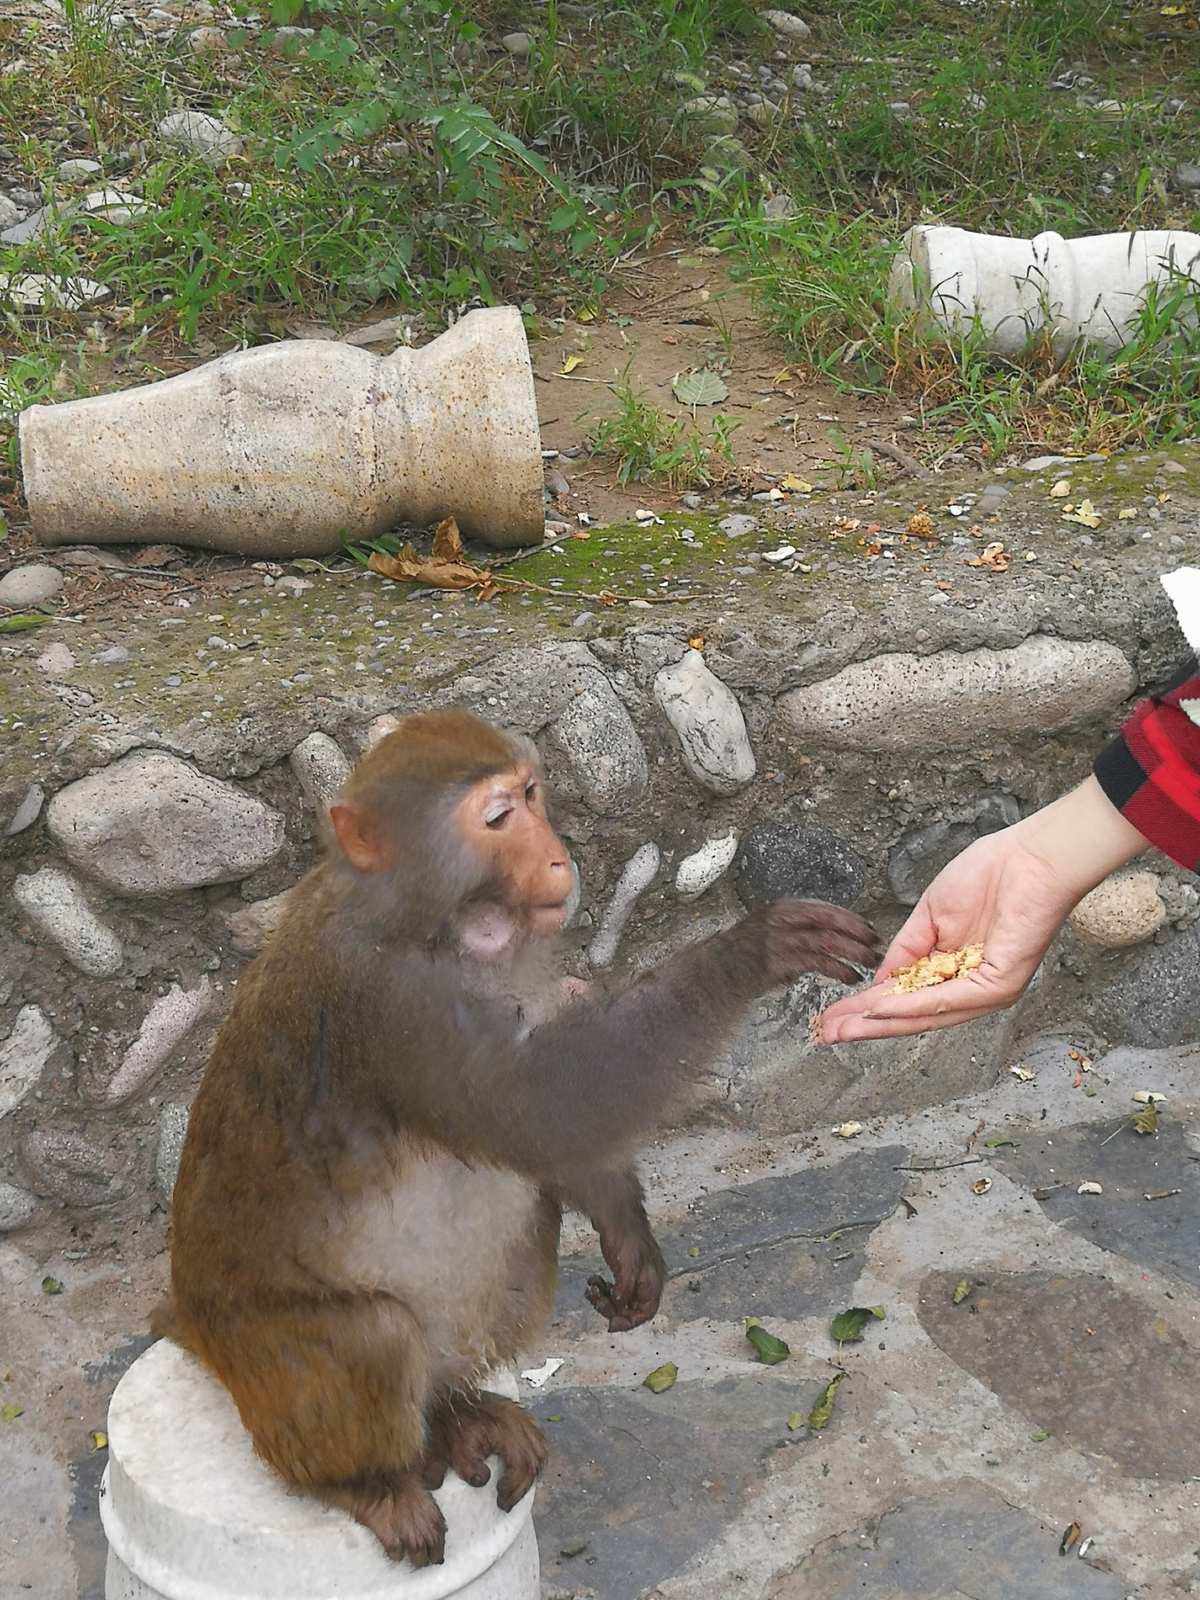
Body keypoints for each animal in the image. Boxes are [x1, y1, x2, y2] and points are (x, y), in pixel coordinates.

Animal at [155, 710, 876, 1561]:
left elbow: (554, 1134)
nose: (559, 853)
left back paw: (455, 1415)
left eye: (533, 795)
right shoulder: (396, 1003)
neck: (433, 924)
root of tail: (196, 1335)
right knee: (372, 1333)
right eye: (498, 818)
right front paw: (753, 949)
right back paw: (363, 1483)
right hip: (262, 1368)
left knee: (528, 1215)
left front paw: (627, 1236)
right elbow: (545, 1107)